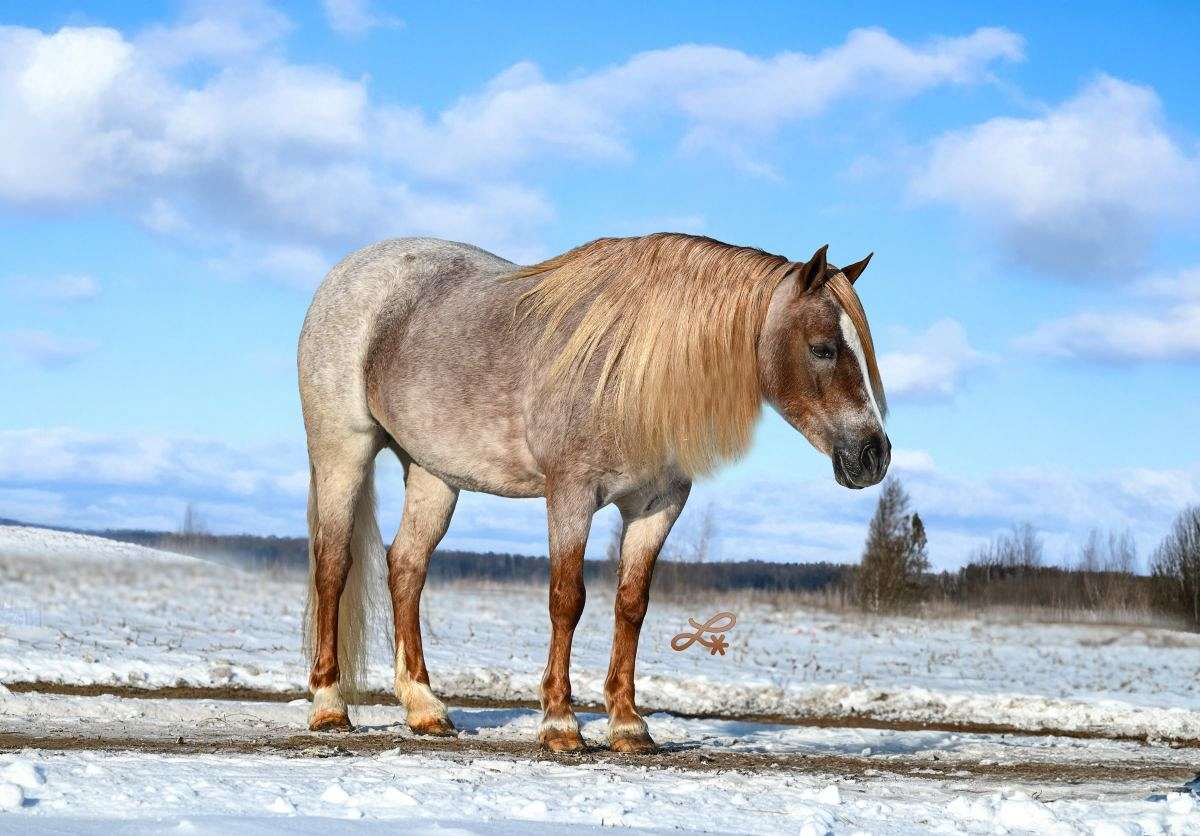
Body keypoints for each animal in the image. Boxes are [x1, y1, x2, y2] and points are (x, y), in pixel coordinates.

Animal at [297, 233, 890, 753]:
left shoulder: (658, 507)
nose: (873, 455)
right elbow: (568, 599)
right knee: (333, 564)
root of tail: (345, 273)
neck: (634, 374)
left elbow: (631, 605)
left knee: (406, 568)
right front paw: (560, 724)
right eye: (823, 349)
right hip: (343, 451)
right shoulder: (571, 494)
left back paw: (424, 709)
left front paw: (628, 726)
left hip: (431, 473)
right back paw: (329, 706)